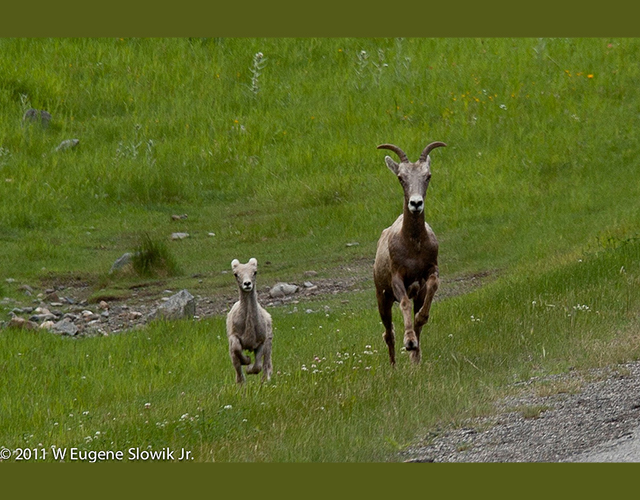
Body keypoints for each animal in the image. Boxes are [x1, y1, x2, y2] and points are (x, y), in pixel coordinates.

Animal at [372, 141, 448, 364]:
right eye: (400, 177)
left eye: (428, 176)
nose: (415, 203)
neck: (413, 247)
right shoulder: (397, 279)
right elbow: (404, 303)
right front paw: (409, 341)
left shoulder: (429, 275)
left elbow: (430, 292)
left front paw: (416, 343)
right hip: (382, 299)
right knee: (388, 334)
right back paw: (394, 366)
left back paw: (415, 359)